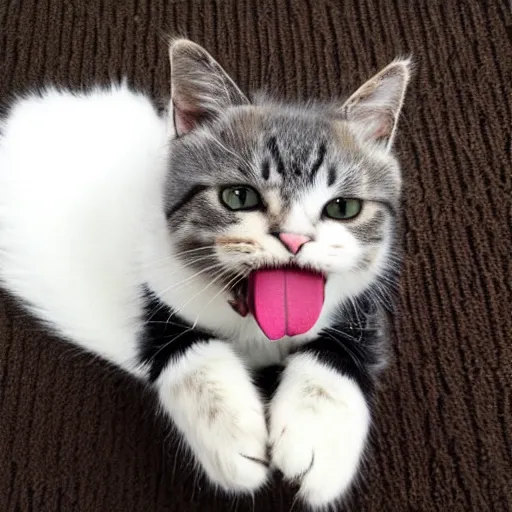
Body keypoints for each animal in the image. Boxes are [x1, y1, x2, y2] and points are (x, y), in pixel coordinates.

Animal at [0, 40, 410, 508]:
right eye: (238, 197)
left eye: (343, 207)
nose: (293, 239)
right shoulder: (155, 282)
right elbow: (182, 348)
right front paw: (233, 439)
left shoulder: (361, 298)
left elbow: (345, 345)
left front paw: (318, 442)